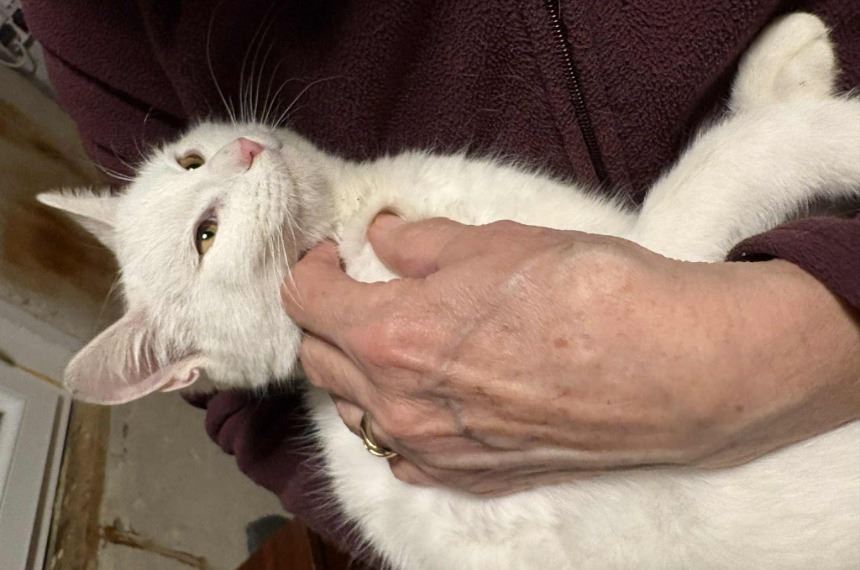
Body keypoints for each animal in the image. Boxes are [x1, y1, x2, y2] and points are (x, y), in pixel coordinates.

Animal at [39, 14, 860, 569]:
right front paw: (834, 127)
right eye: (205, 236)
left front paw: (788, 63)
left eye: (189, 158)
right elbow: (740, 154)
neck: (356, 214)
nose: (243, 150)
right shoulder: (640, 266)